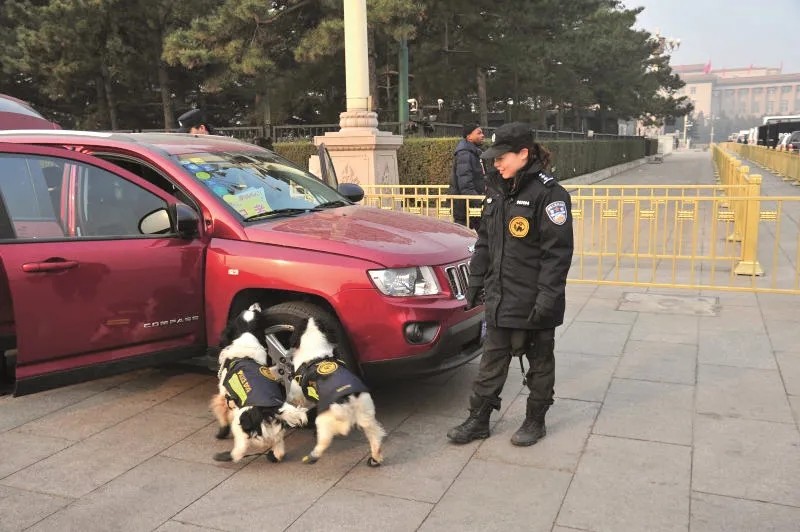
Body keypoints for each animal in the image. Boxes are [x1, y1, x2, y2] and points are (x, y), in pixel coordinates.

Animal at [209, 306, 310, 464]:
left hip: (240, 423)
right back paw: (272, 456)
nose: (256, 305)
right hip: (276, 431)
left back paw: (224, 456)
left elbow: (222, 417)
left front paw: (221, 434)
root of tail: (270, 410)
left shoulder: (224, 397)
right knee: (279, 450)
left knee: (238, 452)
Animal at [290, 318, 386, 468]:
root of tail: (347, 400)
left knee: (323, 443)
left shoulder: (296, 391)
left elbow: (295, 399)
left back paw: (312, 456)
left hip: (323, 421)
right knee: (375, 438)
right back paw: (375, 459)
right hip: (367, 416)